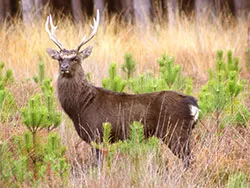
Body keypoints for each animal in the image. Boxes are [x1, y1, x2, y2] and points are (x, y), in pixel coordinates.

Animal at [45, 9, 199, 169]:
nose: (64, 67)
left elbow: (98, 164)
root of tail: (194, 105)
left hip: (175, 131)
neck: (81, 106)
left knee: (188, 159)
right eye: (59, 59)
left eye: (75, 58)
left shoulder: (97, 134)